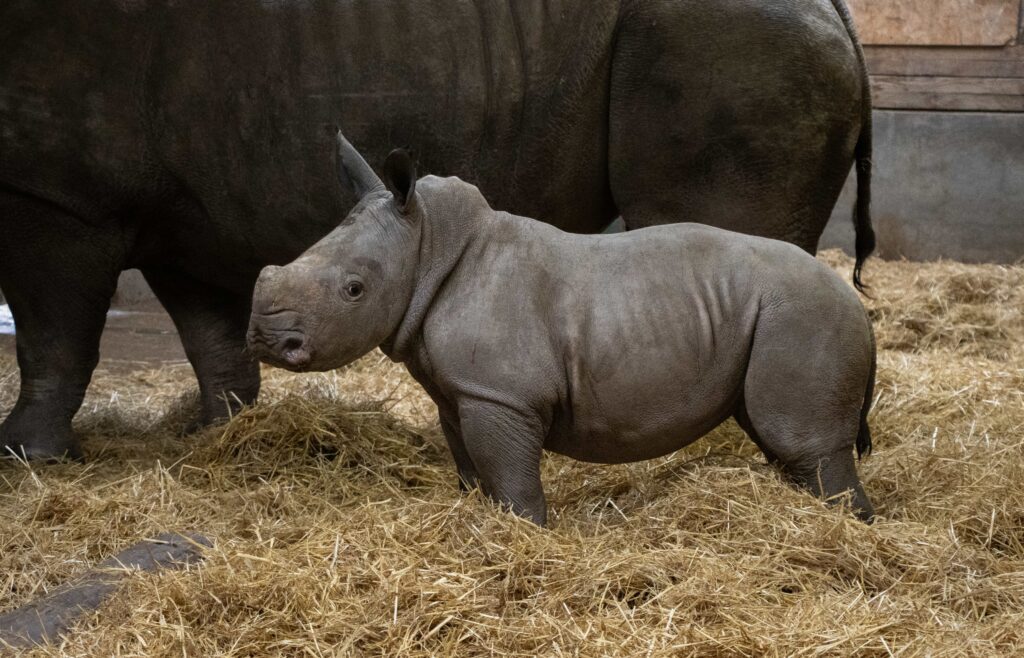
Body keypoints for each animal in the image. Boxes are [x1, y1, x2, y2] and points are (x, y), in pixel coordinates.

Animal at [1, 0, 874, 461]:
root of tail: (839, 13)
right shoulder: (178, 211)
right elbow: (210, 337)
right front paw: (223, 436)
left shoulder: (53, 194)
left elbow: (54, 338)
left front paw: (23, 455)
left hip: (733, 50)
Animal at [247, 134, 876, 524]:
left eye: (354, 290)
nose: (263, 339)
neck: (427, 245)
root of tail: (860, 310)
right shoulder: (462, 392)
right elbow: (471, 468)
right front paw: (481, 522)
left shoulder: (501, 395)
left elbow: (511, 479)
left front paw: (526, 535)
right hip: (778, 317)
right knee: (782, 442)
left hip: (802, 317)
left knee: (803, 443)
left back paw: (845, 526)